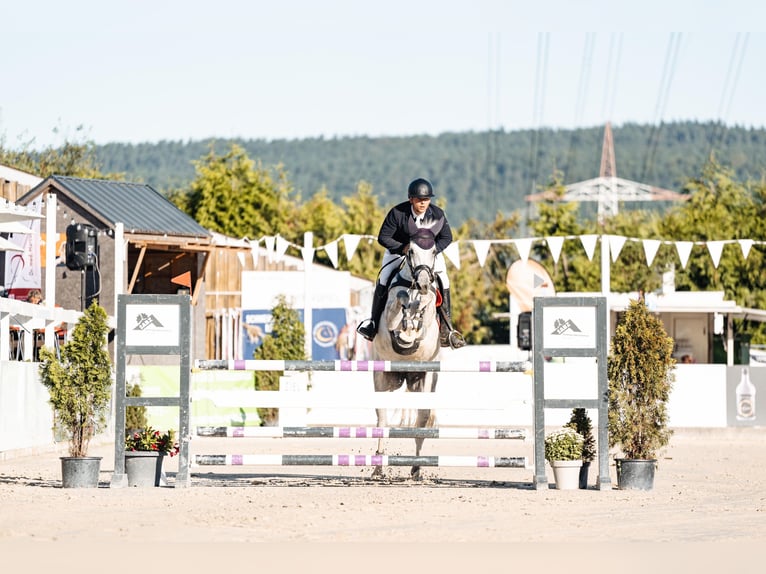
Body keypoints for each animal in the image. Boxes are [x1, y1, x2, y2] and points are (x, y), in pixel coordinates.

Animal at [374, 227, 444, 480]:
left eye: (433, 251)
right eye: (411, 251)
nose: (423, 283)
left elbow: (425, 309)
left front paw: (416, 315)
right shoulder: (390, 313)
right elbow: (399, 300)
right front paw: (406, 322)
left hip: (425, 378)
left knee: (421, 419)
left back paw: (416, 468)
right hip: (383, 377)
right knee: (382, 418)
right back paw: (378, 466)